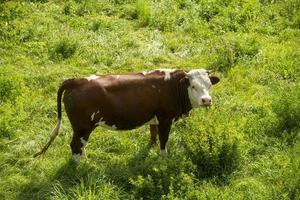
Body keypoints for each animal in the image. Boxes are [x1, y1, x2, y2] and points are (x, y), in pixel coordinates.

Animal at [33, 69, 220, 162]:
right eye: (193, 86)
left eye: (209, 85)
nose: (206, 100)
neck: (173, 85)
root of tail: (77, 80)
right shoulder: (165, 119)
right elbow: (163, 140)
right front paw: (163, 158)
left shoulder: (154, 117)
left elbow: (153, 134)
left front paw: (150, 148)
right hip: (83, 127)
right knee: (75, 145)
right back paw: (79, 165)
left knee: (79, 145)